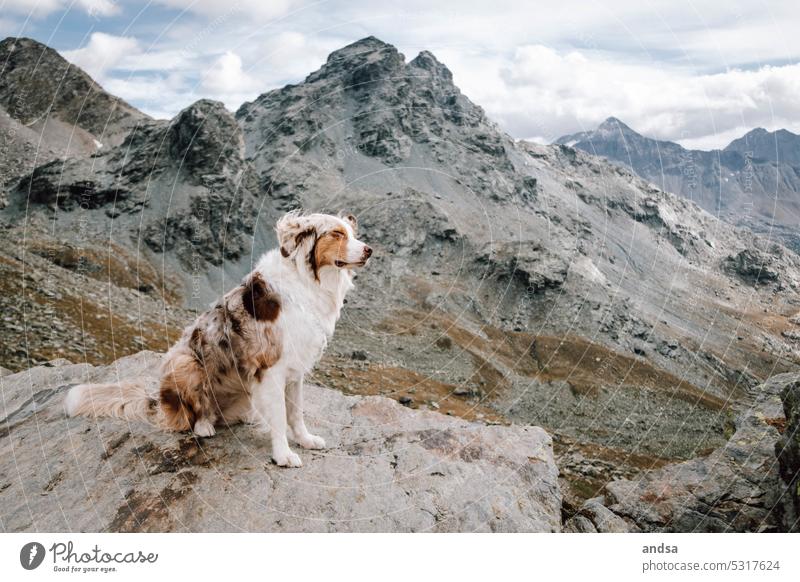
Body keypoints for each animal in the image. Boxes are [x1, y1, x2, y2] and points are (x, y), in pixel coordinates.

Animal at [65, 212, 372, 468]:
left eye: (351, 233)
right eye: (336, 234)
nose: (369, 250)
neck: (308, 281)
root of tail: (158, 402)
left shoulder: (295, 368)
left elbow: (295, 412)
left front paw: (306, 440)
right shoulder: (271, 367)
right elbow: (280, 415)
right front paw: (283, 455)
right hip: (185, 362)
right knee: (194, 414)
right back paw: (204, 426)